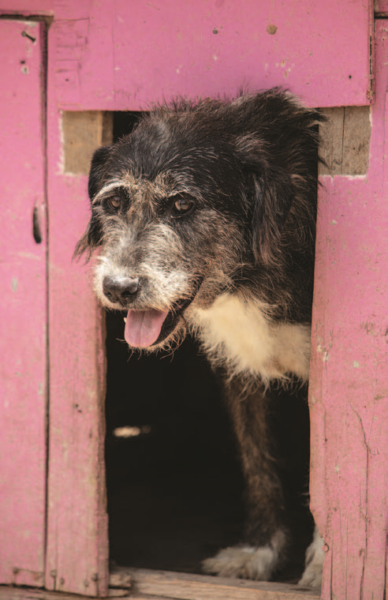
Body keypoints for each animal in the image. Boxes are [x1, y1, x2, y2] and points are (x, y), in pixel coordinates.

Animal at [76, 89, 324, 584]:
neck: (249, 276)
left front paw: (325, 562)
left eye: (182, 205)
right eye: (113, 204)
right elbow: (257, 462)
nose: (118, 288)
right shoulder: (241, 374)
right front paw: (259, 551)